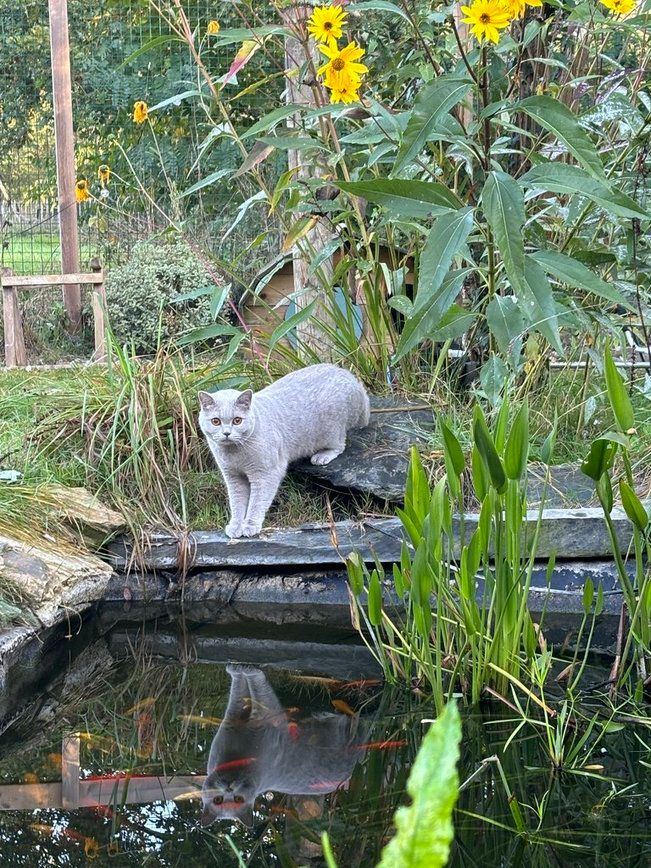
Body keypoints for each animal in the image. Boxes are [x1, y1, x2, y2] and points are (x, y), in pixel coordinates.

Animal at [197, 363, 370, 538]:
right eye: (216, 421)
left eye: (237, 420)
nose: (226, 433)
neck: (234, 454)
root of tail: (351, 378)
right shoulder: (232, 477)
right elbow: (237, 503)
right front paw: (235, 526)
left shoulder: (266, 473)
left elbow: (257, 502)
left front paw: (250, 525)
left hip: (332, 431)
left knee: (340, 444)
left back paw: (322, 456)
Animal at [200, 664, 369, 828]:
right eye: (218, 800)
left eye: (238, 799)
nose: (229, 789)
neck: (233, 764)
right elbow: (249, 692)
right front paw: (243, 670)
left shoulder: (250, 715)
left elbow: (246, 689)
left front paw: (238, 668)